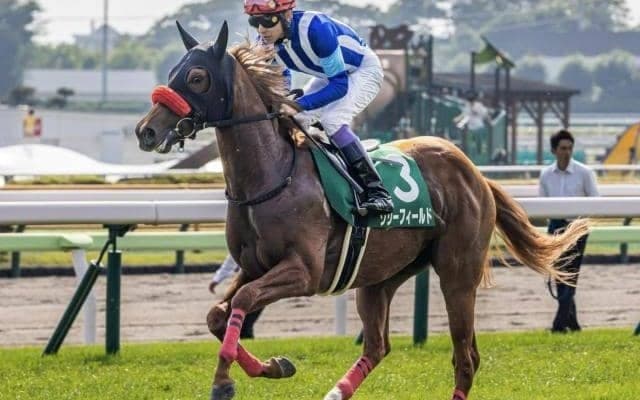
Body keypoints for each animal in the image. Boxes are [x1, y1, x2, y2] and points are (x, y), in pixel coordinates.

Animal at [134, 21, 589, 400]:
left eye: (197, 77)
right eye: (174, 71)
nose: (146, 131)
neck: (272, 174)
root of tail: (475, 174)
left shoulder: (304, 270)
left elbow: (243, 300)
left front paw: (224, 382)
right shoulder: (254, 265)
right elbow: (217, 314)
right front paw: (275, 366)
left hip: (458, 274)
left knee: (466, 356)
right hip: (379, 276)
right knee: (378, 345)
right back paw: (335, 393)